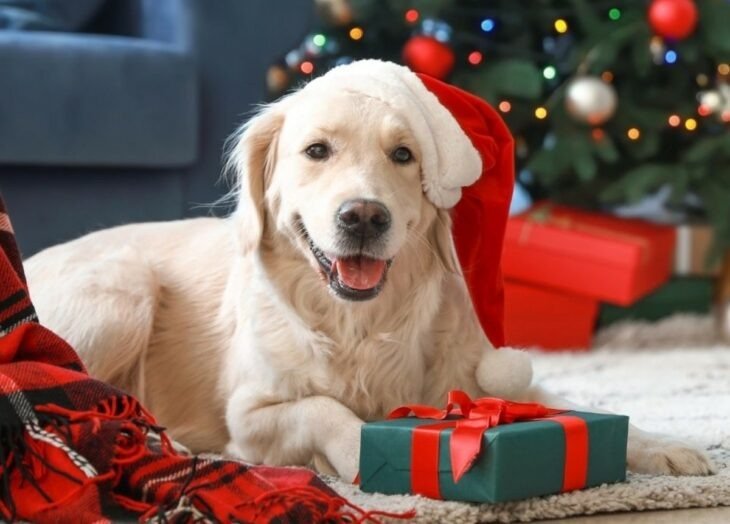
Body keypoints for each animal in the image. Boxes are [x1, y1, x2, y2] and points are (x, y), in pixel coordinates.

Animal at [25, 59, 712, 482]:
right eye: (316, 150)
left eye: (404, 155)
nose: (362, 216)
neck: (358, 325)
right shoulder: (251, 416)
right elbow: (327, 410)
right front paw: (366, 454)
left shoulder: (479, 375)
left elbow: (570, 404)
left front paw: (667, 446)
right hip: (124, 291)